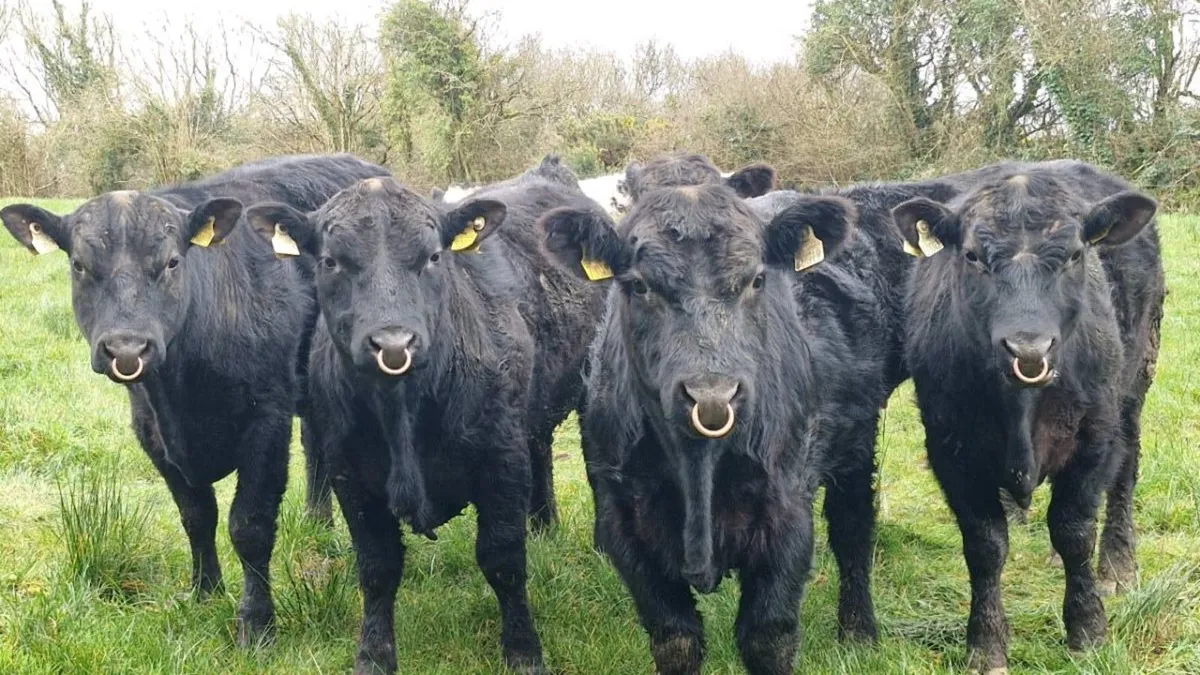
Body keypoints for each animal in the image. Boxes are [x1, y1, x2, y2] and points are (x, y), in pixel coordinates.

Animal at [0, 153, 391, 645]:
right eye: (80, 266)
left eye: (171, 262)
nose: (127, 348)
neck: (182, 395)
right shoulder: (150, 431)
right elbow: (196, 515)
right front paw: (205, 591)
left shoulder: (267, 417)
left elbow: (250, 525)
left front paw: (256, 624)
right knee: (315, 446)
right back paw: (317, 523)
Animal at [241, 156, 605, 674]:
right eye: (331, 260)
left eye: (433, 256)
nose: (393, 343)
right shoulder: (350, 475)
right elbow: (377, 566)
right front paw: (373, 655)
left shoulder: (500, 460)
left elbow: (503, 560)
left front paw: (523, 651)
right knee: (541, 449)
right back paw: (544, 525)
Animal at [538, 180, 900, 674]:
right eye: (638, 285)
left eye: (757, 280)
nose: (712, 396)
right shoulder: (627, 528)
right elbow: (676, 639)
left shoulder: (786, 517)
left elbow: (768, 637)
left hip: (857, 446)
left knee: (853, 531)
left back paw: (859, 633)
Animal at [890, 160, 1165, 672]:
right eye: (973, 256)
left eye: (1075, 254)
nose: (1029, 349)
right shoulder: (951, 448)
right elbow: (985, 545)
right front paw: (985, 644)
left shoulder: (1094, 438)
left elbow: (1074, 531)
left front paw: (1087, 628)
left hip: (1137, 381)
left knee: (1125, 474)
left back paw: (1117, 565)